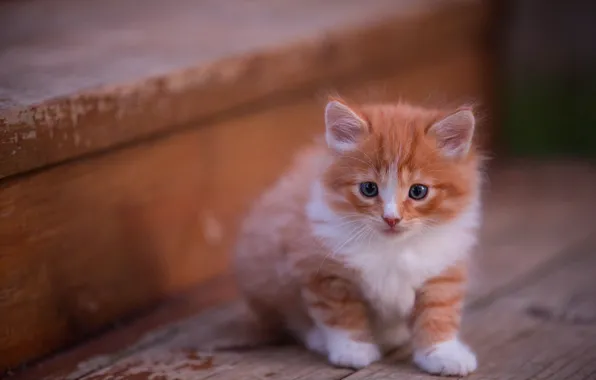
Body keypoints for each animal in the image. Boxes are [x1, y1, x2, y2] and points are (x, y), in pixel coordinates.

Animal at [235, 98, 482, 378]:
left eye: (418, 191)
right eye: (369, 188)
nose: (391, 218)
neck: (391, 248)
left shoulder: (443, 269)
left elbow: (438, 313)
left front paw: (443, 353)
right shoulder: (322, 270)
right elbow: (341, 314)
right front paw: (353, 349)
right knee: (288, 316)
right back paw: (318, 338)